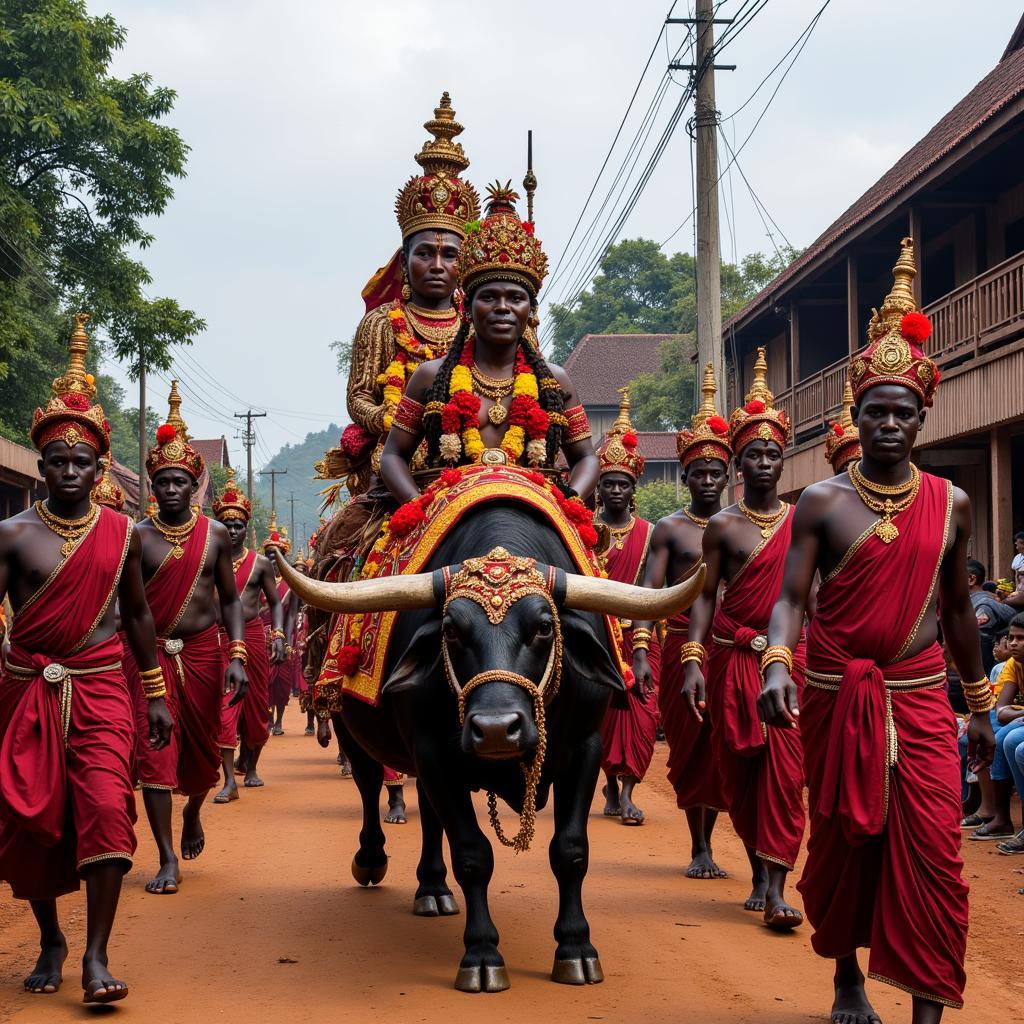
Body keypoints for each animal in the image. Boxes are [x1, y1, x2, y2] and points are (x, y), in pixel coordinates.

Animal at [272, 499, 704, 995]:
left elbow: (571, 850)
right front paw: (482, 956)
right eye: (451, 631)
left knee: (427, 812)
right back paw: (372, 860)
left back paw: (433, 889)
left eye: (543, 628)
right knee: (368, 786)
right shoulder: (434, 752)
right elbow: (472, 854)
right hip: (352, 729)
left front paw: (576, 949)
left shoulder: (584, 749)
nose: (496, 729)